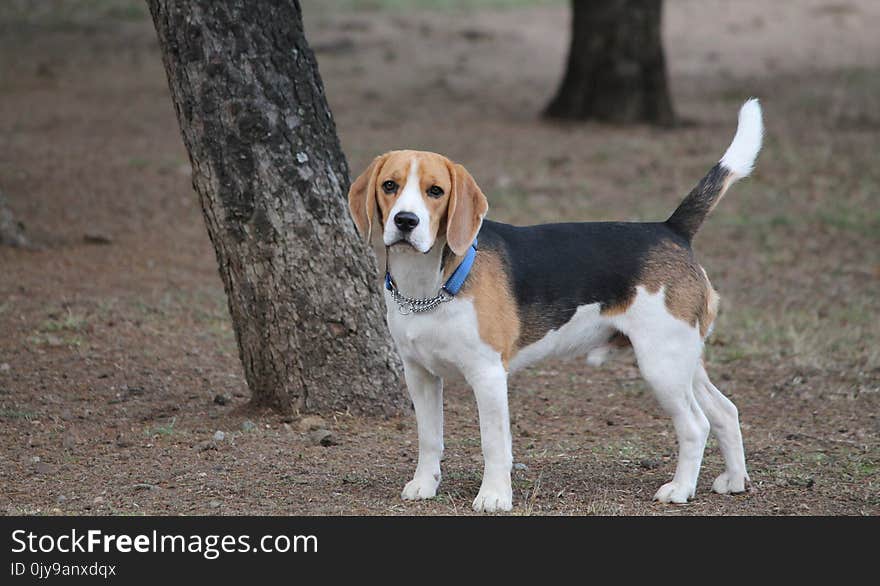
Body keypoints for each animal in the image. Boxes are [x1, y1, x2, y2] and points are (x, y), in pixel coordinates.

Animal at [348, 98, 760, 508]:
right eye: (389, 185)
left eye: (435, 191)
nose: (406, 221)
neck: (428, 285)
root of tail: (671, 229)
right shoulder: (419, 373)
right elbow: (429, 438)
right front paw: (425, 484)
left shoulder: (488, 374)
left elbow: (493, 444)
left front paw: (494, 495)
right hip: (683, 358)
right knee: (725, 411)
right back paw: (735, 479)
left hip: (662, 364)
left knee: (696, 424)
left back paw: (680, 489)